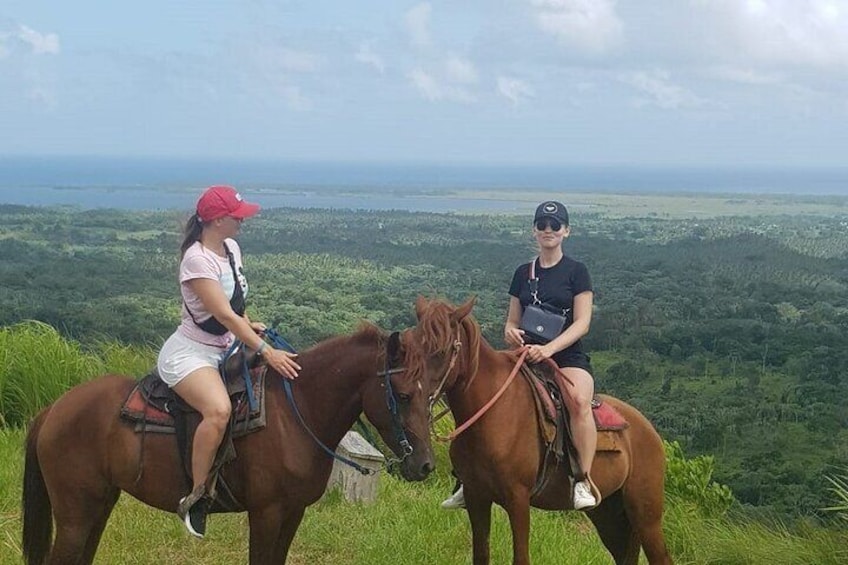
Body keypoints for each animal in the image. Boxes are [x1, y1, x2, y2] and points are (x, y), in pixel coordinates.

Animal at [24, 324, 438, 560]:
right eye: (402, 395)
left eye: (431, 394)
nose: (425, 465)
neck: (296, 415)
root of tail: (53, 410)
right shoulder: (267, 512)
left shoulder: (293, 512)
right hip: (75, 515)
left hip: (98, 505)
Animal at [404, 296, 676, 564]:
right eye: (411, 346)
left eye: (441, 350)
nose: (408, 394)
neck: (493, 416)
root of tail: (649, 430)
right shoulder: (475, 496)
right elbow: (481, 553)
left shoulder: (518, 500)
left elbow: (521, 557)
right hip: (608, 514)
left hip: (646, 517)